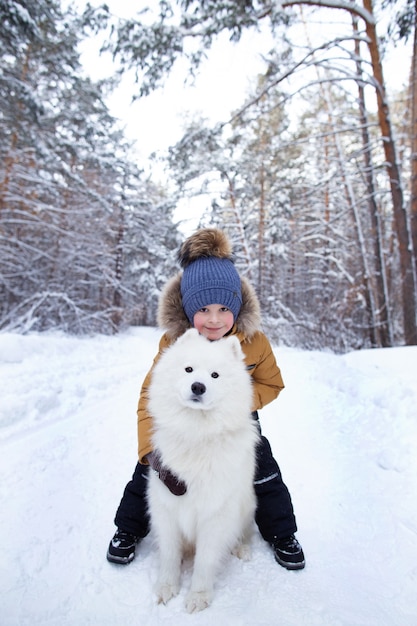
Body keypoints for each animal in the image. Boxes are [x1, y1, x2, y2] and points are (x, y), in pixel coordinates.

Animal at [145, 330, 256, 612]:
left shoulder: (215, 512)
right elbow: (169, 554)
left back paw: (241, 548)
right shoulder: (166, 506)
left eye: (215, 375)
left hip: (246, 507)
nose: (198, 386)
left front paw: (198, 596)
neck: (195, 434)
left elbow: (205, 560)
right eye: (189, 369)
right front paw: (167, 587)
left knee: (244, 534)